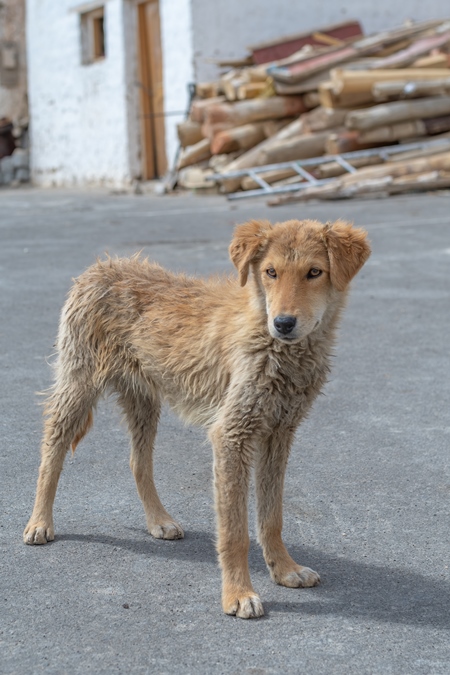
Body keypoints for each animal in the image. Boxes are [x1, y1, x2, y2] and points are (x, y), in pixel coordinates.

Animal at [22, 220, 370, 616]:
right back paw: (39, 521)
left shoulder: (278, 434)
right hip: (78, 386)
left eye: (314, 272)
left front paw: (284, 569)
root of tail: (100, 267)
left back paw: (159, 521)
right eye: (270, 272)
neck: (271, 345)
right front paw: (238, 593)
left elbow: (272, 517)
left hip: (143, 398)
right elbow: (235, 531)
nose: (283, 323)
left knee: (138, 462)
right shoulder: (231, 435)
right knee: (52, 449)